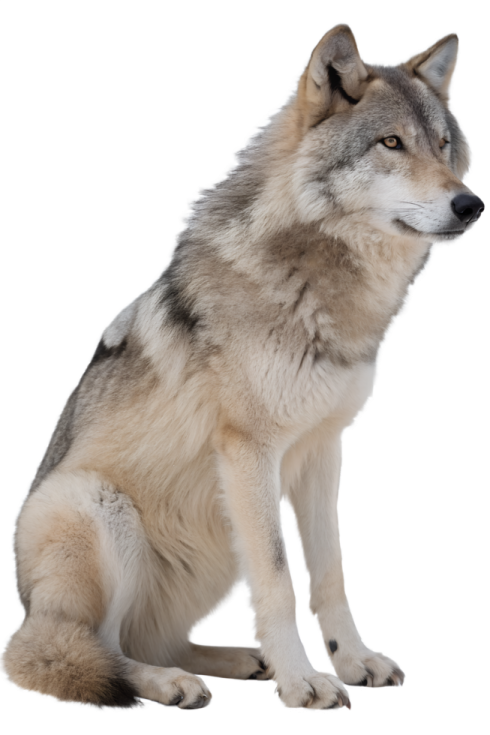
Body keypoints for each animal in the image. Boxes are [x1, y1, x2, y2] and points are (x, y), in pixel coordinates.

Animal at [0, 22, 484, 712]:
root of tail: (25, 614)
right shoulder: (250, 452)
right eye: (392, 143)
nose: (470, 204)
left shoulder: (321, 450)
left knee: (154, 639)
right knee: (96, 649)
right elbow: (279, 580)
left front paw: (352, 661)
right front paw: (305, 681)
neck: (321, 286)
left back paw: (238, 660)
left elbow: (330, 572)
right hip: (99, 509)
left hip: (216, 541)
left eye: (445, 147)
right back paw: (170, 684)